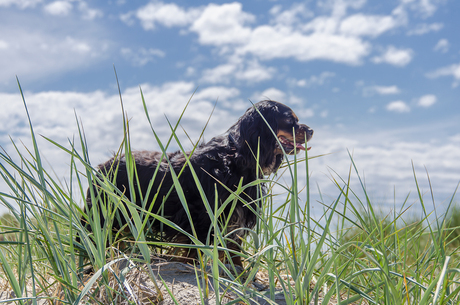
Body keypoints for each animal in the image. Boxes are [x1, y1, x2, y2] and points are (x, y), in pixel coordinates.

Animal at [82, 100, 312, 266]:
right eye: (290, 120)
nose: (311, 130)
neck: (237, 160)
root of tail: (103, 166)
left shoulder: (235, 217)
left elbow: (234, 250)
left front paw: (240, 274)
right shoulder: (203, 216)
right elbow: (198, 247)